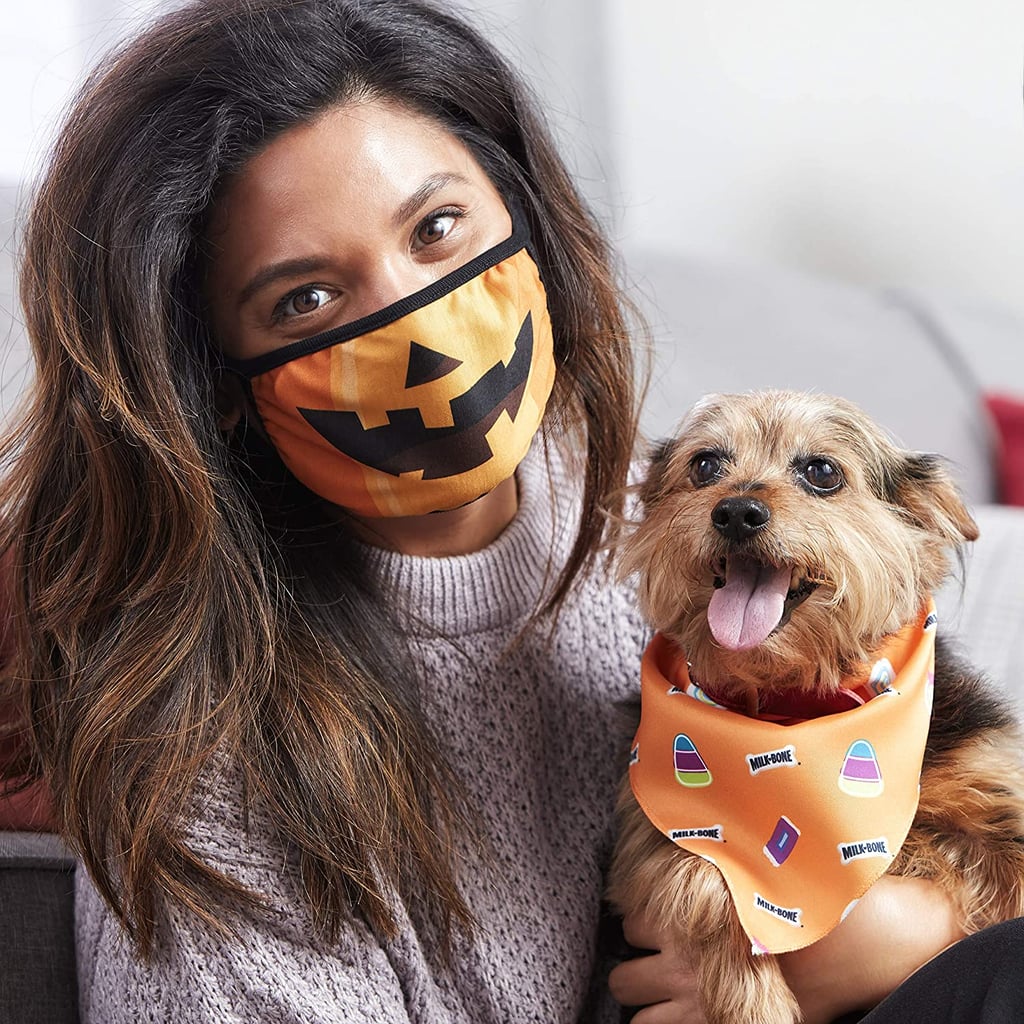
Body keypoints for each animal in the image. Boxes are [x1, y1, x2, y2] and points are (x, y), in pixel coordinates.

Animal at [606, 391, 1024, 1024]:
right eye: (704, 465)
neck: (795, 708)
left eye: (822, 471)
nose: (736, 511)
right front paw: (758, 1007)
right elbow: (705, 873)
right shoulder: (653, 831)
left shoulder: (996, 793)